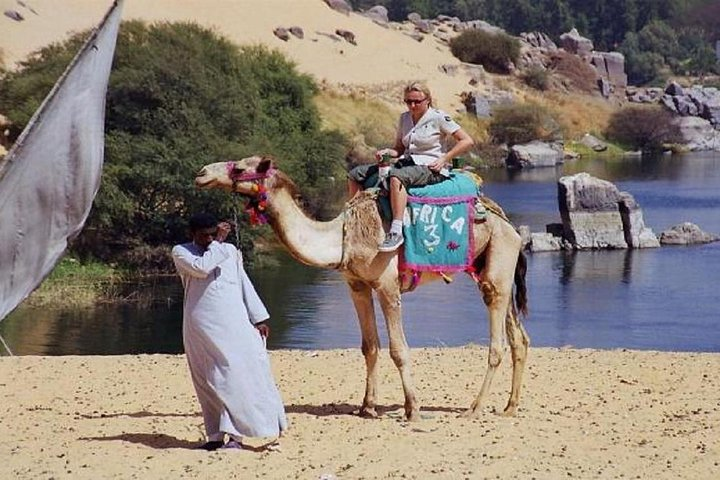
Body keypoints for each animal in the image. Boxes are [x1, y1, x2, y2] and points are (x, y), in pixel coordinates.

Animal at [195, 155, 530, 421]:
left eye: (240, 168)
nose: (202, 172)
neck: (342, 238)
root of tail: (509, 224)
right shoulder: (357, 286)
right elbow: (369, 346)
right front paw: (367, 406)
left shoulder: (387, 285)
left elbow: (398, 349)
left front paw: (413, 409)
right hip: (489, 264)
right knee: (519, 338)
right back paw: (510, 407)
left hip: (498, 260)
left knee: (497, 341)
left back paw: (475, 408)